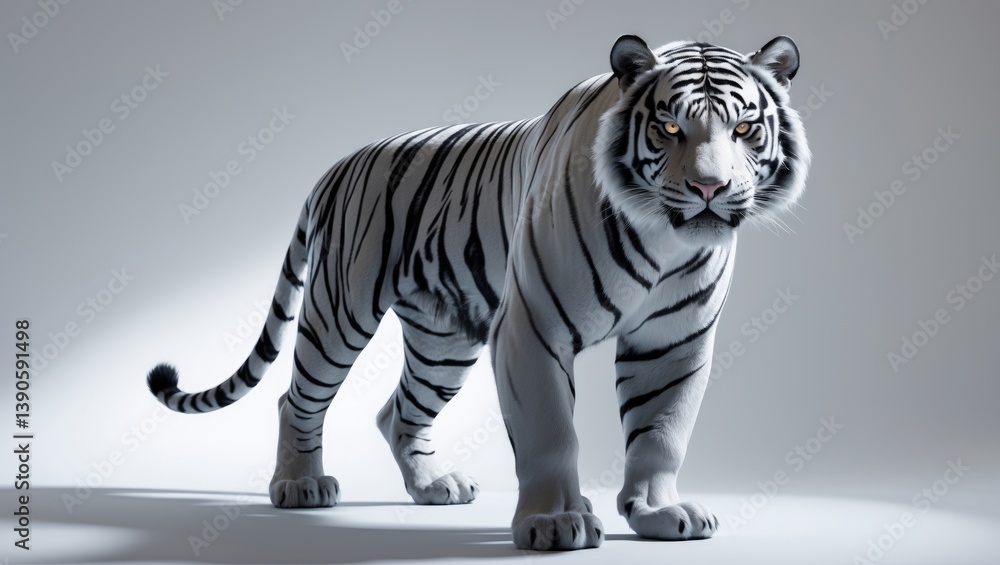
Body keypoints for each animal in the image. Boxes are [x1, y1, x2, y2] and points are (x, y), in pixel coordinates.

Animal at [147, 34, 809, 551]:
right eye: (671, 127)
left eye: (745, 129)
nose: (709, 188)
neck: (662, 234)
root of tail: (337, 166)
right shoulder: (534, 327)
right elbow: (551, 430)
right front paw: (555, 521)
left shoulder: (675, 340)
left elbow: (663, 430)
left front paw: (657, 511)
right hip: (340, 311)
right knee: (298, 398)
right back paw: (299, 485)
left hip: (444, 341)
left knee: (399, 411)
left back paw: (432, 487)